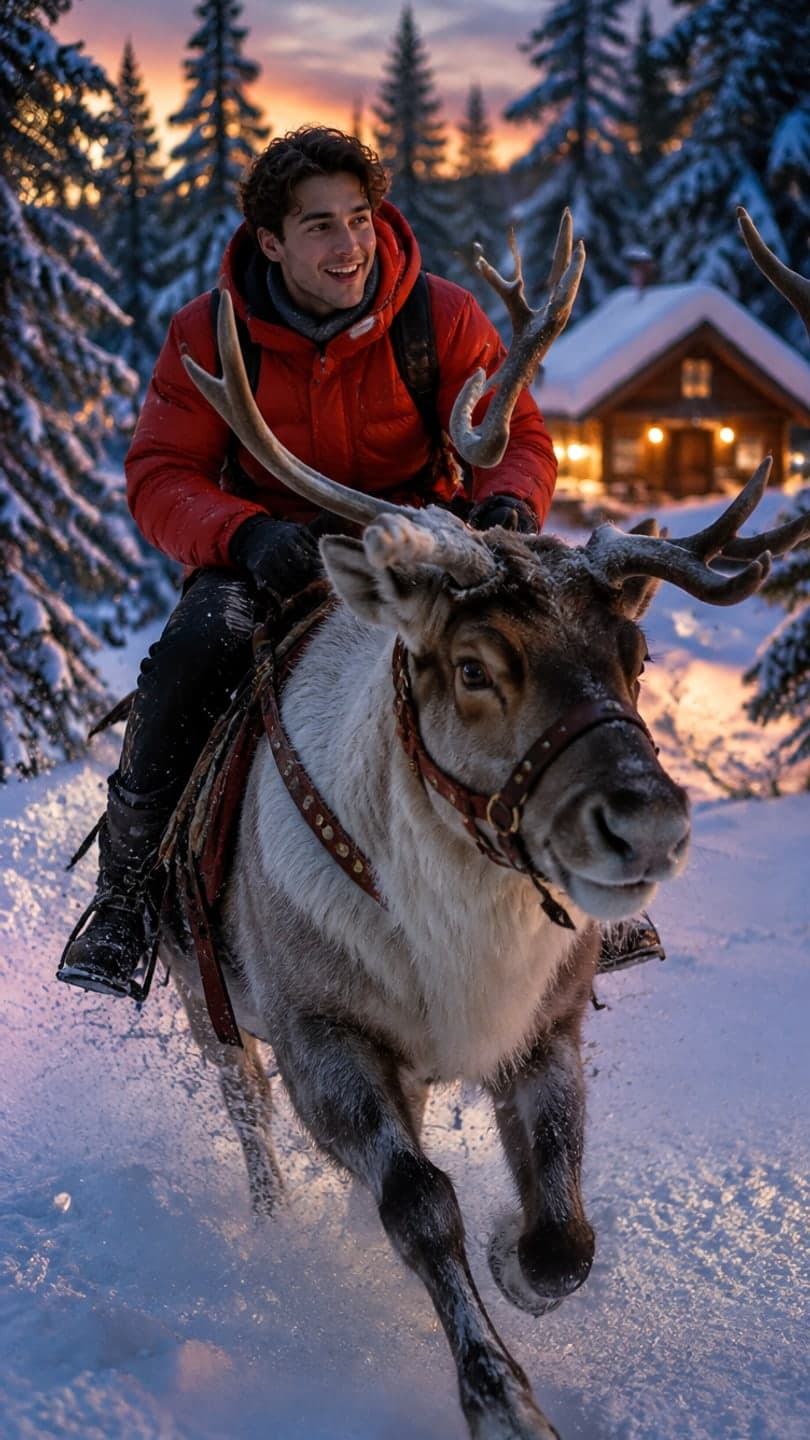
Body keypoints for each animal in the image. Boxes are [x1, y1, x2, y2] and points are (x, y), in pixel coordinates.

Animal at [156, 213, 810, 1440]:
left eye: (635, 655)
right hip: (203, 1000)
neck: (460, 938)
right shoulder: (323, 1034)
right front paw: (500, 1396)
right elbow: (419, 1203)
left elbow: (562, 1227)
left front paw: (516, 1256)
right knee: (249, 1116)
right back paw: (273, 1218)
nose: (650, 824)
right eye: (472, 666)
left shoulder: (546, 1026)